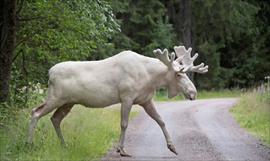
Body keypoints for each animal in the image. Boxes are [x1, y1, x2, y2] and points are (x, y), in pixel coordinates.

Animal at [27, 45, 208, 156]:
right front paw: (121, 150)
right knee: (35, 112)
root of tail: (49, 73)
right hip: (55, 98)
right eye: (178, 74)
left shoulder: (145, 100)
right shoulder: (126, 97)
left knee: (55, 118)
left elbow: (161, 121)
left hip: (68, 103)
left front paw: (172, 147)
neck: (150, 78)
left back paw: (64, 145)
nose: (193, 92)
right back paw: (30, 144)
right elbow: (124, 124)